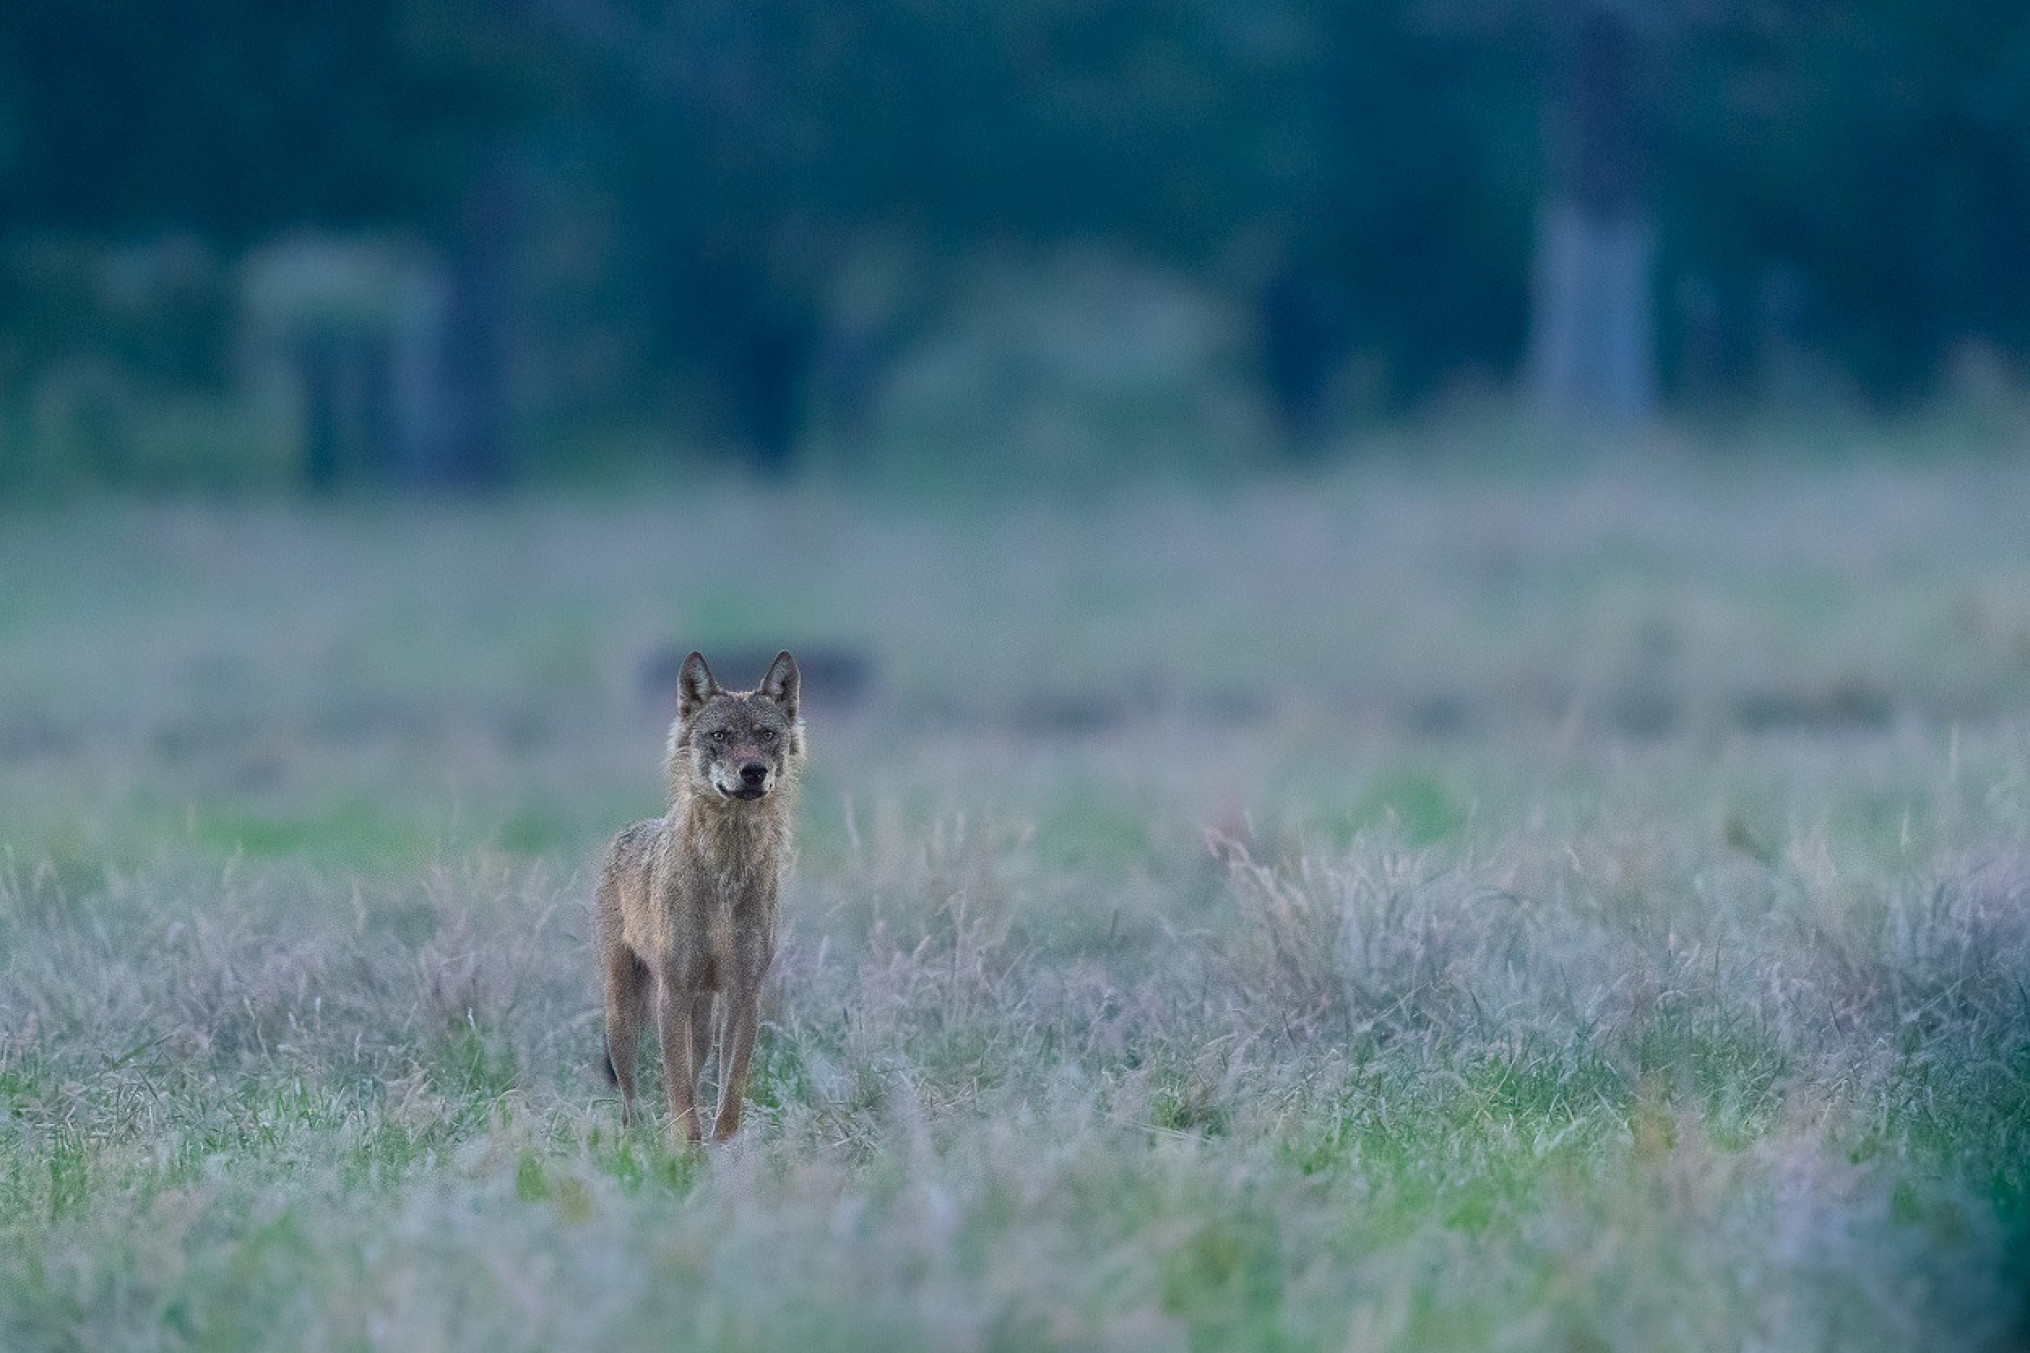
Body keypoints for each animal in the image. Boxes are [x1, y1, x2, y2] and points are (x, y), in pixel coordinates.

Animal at [595, 649, 803, 1143]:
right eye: (720, 735)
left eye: (766, 735)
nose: (753, 772)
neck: (726, 870)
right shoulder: (673, 990)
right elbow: (679, 1089)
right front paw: (686, 1148)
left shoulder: (745, 992)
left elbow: (730, 1087)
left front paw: (723, 1145)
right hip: (622, 1013)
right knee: (630, 1094)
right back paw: (636, 1137)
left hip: (704, 1015)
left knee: (695, 1063)